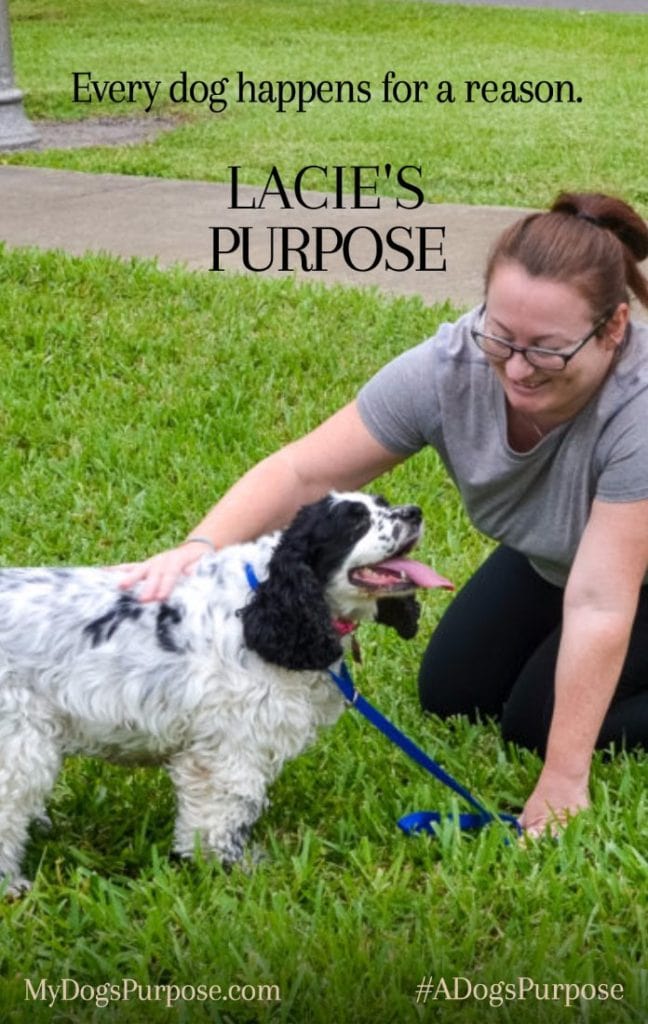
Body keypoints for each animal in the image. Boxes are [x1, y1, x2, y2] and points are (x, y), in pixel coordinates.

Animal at [0, 491, 450, 892]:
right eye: (354, 521)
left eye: (383, 502)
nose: (414, 512)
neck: (261, 608)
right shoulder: (227, 747)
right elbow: (223, 812)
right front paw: (227, 865)